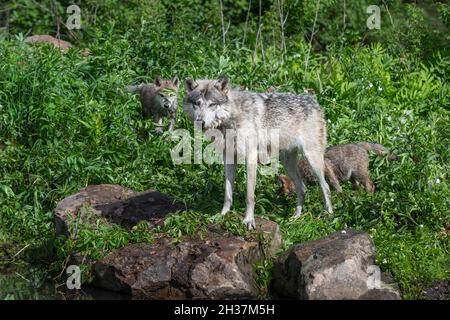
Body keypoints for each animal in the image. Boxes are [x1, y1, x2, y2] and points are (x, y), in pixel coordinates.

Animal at [181, 76, 332, 229]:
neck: (232, 118)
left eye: (212, 104)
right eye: (197, 103)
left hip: (312, 160)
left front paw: (249, 220)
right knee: (302, 188)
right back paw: (296, 217)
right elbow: (228, 193)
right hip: (287, 164)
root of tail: (312, 100)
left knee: (325, 186)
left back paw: (329, 215)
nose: (200, 122)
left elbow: (249, 196)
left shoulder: (251, 158)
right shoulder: (228, 158)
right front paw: (222, 214)